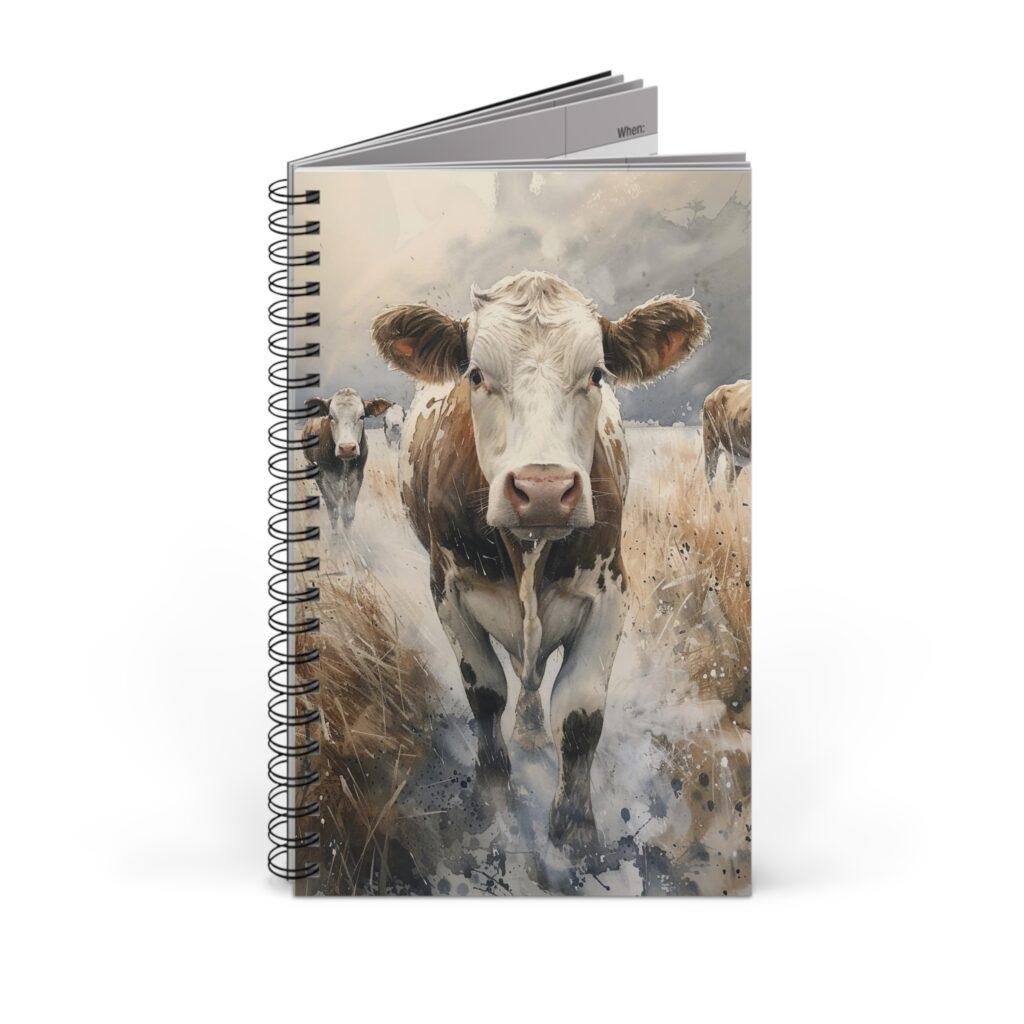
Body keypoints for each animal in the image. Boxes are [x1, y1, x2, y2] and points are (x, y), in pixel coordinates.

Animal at [302, 388, 391, 532]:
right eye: (331, 416)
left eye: (362, 416)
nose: (347, 448)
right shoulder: (322, 478)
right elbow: (333, 511)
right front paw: (336, 536)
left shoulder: (357, 477)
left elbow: (348, 514)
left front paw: (347, 535)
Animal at [372, 271, 708, 855]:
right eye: (476, 374)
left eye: (596, 374)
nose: (545, 490)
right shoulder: (447, 590)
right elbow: (486, 693)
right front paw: (493, 793)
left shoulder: (611, 593)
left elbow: (578, 716)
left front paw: (574, 830)